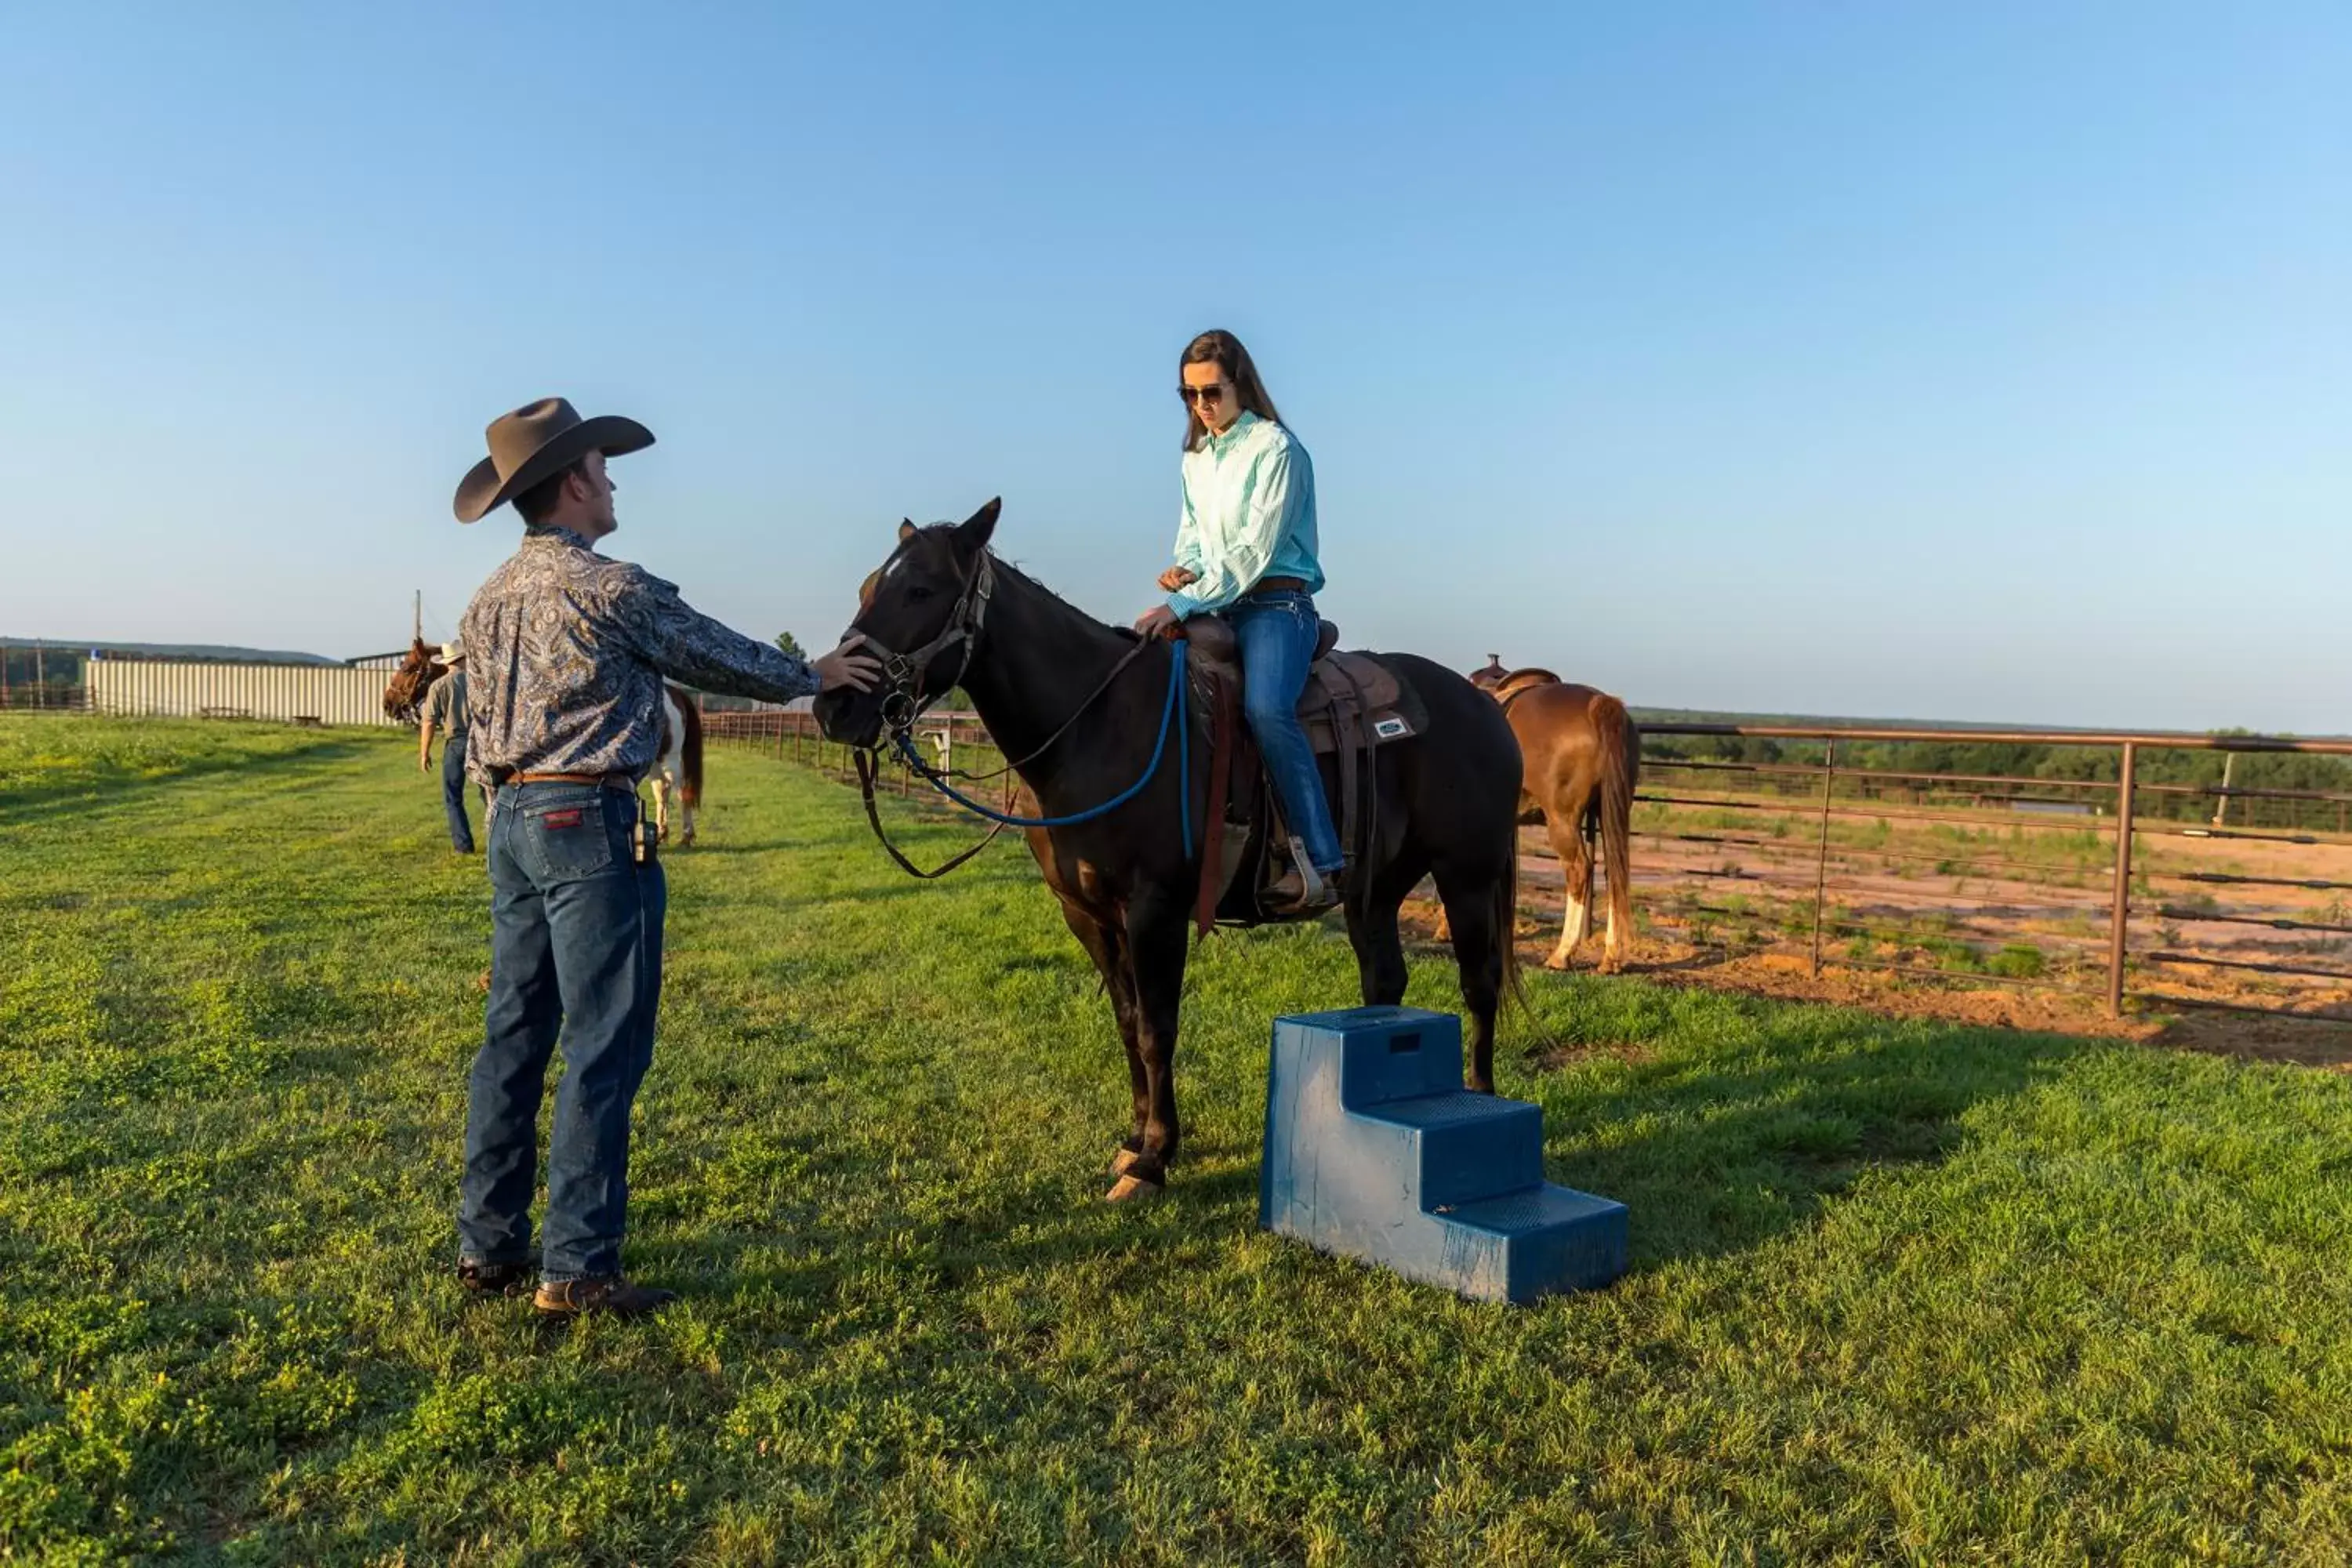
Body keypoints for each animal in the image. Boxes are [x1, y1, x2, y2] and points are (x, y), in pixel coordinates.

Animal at [818, 503, 1534, 1203]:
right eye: (866, 588)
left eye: (920, 589)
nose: (834, 705)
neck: (1095, 729)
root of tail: (1484, 705)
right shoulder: (1087, 915)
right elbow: (1127, 1021)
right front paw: (1136, 1139)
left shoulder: (1154, 910)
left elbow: (1158, 1027)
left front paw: (1154, 1161)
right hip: (1376, 888)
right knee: (1385, 981)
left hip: (1465, 877)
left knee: (1479, 983)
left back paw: (1481, 1102)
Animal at [1449, 658, 1637, 973]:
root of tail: (1599, 704)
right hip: (1611, 810)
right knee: (1614, 873)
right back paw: (1611, 957)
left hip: (1562, 820)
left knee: (1579, 869)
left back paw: (1562, 953)